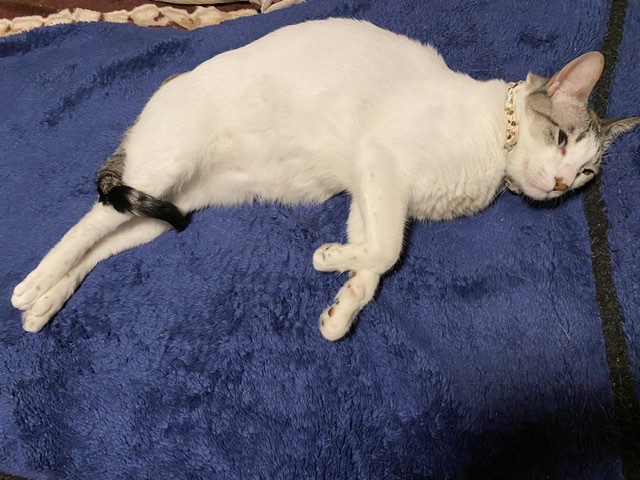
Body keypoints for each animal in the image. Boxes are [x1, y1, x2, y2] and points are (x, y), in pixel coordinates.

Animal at [11, 18, 640, 340]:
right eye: (562, 140)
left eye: (586, 171)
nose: (562, 184)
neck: (492, 149)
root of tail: (162, 89)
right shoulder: (381, 159)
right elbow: (386, 249)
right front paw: (331, 260)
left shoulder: (371, 189)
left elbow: (376, 254)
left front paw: (343, 304)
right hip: (165, 165)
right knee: (84, 226)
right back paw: (33, 282)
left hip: (170, 210)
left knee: (105, 240)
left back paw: (45, 302)